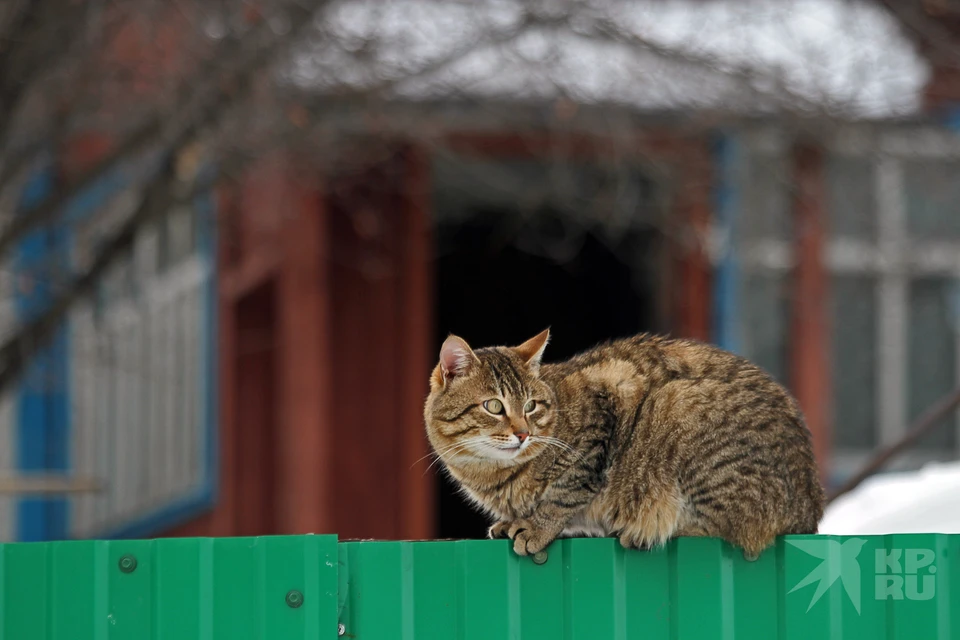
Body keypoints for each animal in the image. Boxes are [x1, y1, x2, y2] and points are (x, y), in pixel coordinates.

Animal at [422, 330, 824, 560]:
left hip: (675, 404)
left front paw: (537, 526)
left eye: (532, 406)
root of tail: (810, 509)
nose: (523, 433)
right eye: (494, 406)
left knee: (731, 529)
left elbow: (566, 491)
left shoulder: (601, 417)